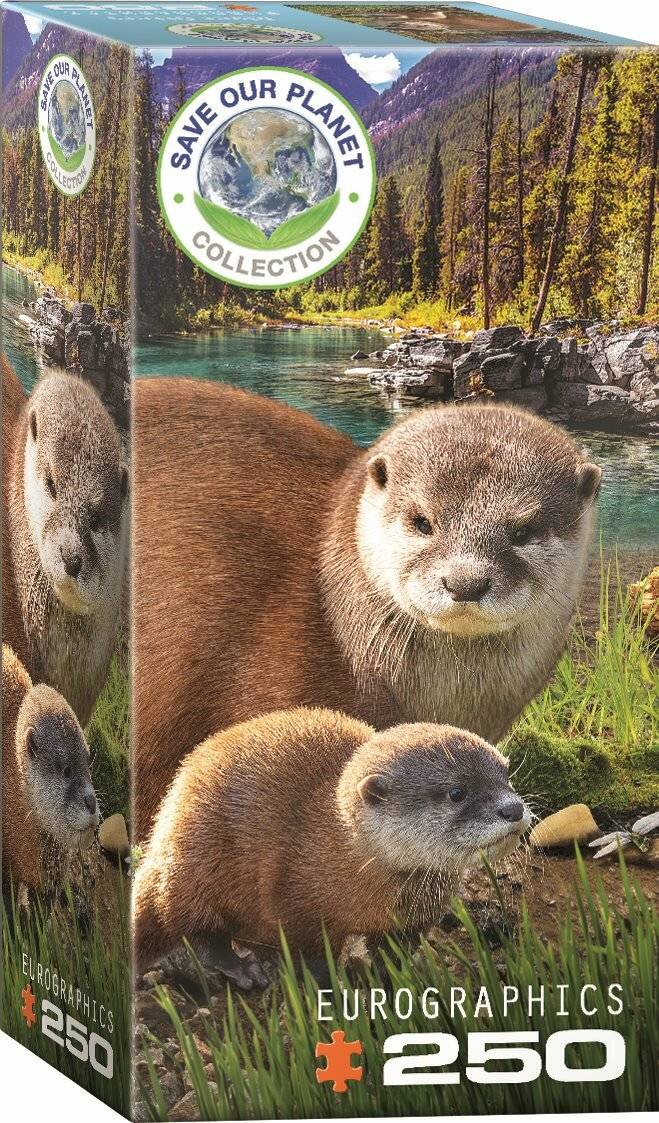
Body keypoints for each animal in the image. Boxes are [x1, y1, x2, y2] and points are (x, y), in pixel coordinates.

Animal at [134, 708, 529, 983]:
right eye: (456, 792)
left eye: (506, 773)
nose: (513, 808)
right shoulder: (295, 900)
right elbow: (311, 953)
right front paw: (328, 986)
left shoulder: (413, 920)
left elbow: (397, 951)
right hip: (198, 864)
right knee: (191, 927)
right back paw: (242, 969)